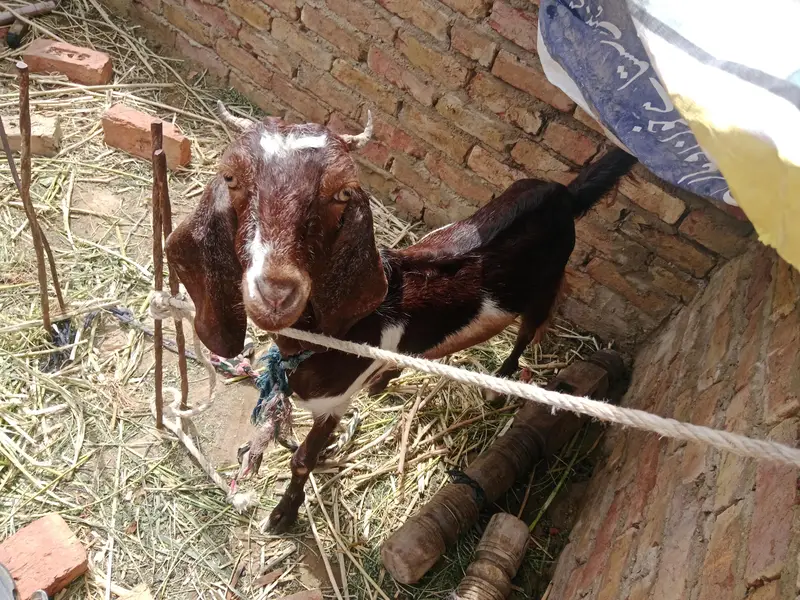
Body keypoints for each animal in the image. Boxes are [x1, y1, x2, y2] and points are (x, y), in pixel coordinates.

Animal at [166, 102, 637, 532]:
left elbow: (302, 460)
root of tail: (566, 196)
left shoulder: (334, 405)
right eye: (231, 178)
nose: (276, 292)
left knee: (525, 335)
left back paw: (499, 384)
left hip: (545, 288)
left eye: (343, 193)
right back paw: (386, 378)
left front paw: (283, 515)